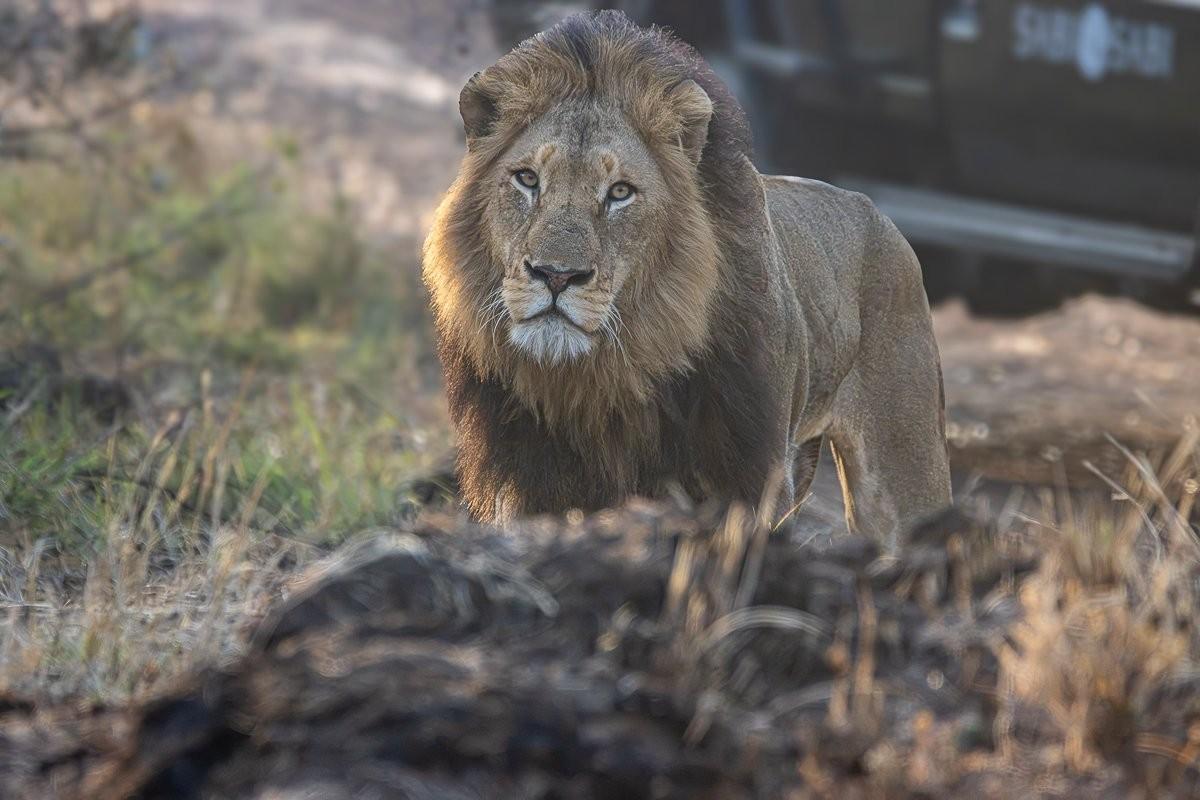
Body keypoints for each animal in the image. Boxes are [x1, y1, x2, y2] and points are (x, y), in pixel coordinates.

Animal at [423, 11, 952, 543]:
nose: (556, 275)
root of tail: (877, 213)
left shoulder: (745, 475)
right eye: (527, 179)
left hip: (902, 468)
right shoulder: (526, 482)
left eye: (620, 192)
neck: (601, 377)